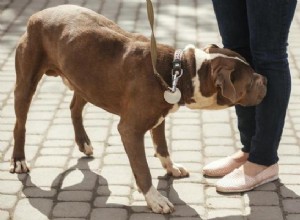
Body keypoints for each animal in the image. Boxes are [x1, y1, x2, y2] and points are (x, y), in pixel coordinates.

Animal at [10, 4, 266, 213]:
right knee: (20, 124)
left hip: (86, 80)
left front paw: (171, 168)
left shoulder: (160, 116)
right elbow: (142, 168)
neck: (180, 71)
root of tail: (38, 14)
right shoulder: (130, 130)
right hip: (27, 83)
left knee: (74, 107)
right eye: (251, 82)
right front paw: (155, 199)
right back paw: (19, 160)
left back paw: (83, 141)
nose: (265, 79)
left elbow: (162, 147)